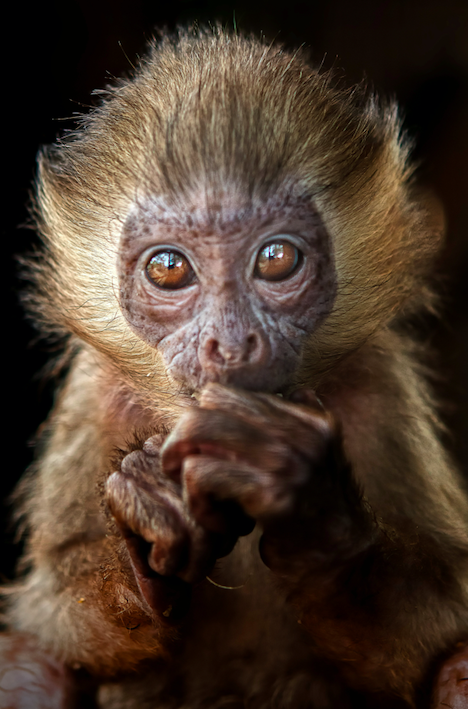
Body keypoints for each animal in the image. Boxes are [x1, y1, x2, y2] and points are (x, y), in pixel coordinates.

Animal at [0, 26, 468, 708]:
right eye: (169, 269)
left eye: (276, 259)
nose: (230, 344)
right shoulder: (92, 394)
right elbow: (60, 624)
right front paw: (149, 518)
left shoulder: (379, 386)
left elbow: (434, 631)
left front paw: (313, 510)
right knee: (26, 663)